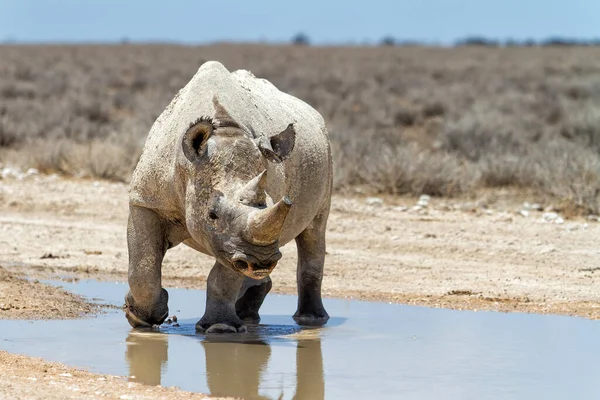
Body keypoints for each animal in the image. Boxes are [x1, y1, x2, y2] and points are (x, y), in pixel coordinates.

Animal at [124, 61, 332, 332]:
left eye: (266, 203)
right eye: (211, 215)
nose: (262, 261)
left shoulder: (237, 239)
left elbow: (226, 274)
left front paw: (220, 328)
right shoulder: (147, 201)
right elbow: (143, 266)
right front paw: (140, 318)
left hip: (326, 153)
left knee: (314, 230)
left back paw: (310, 320)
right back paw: (248, 314)